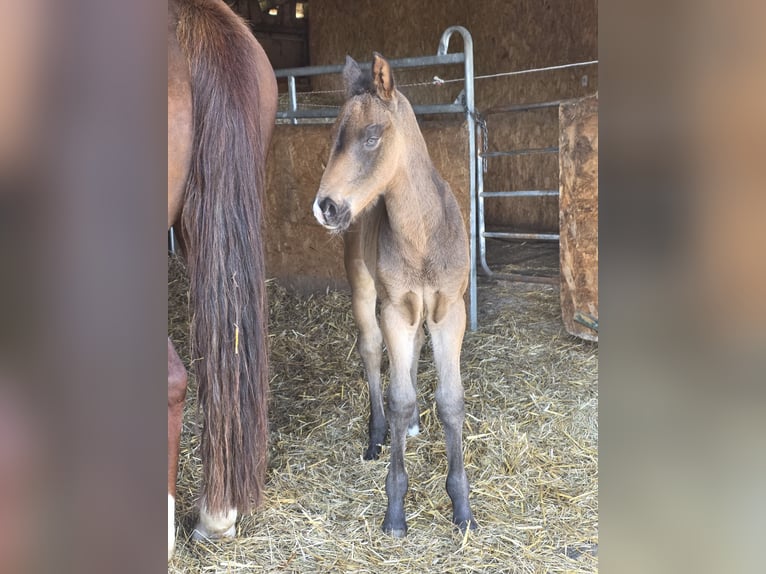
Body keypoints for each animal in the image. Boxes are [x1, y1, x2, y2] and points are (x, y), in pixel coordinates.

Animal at [312, 53, 477, 537]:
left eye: (371, 136)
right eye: (334, 136)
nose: (325, 207)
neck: (422, 237)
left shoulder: (449, 311)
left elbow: (451, 401)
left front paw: (462, 508)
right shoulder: (394, 311)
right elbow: (398, 399)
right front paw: (396, 511)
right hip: (365, 291)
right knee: (371, 353)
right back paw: (376, 436)